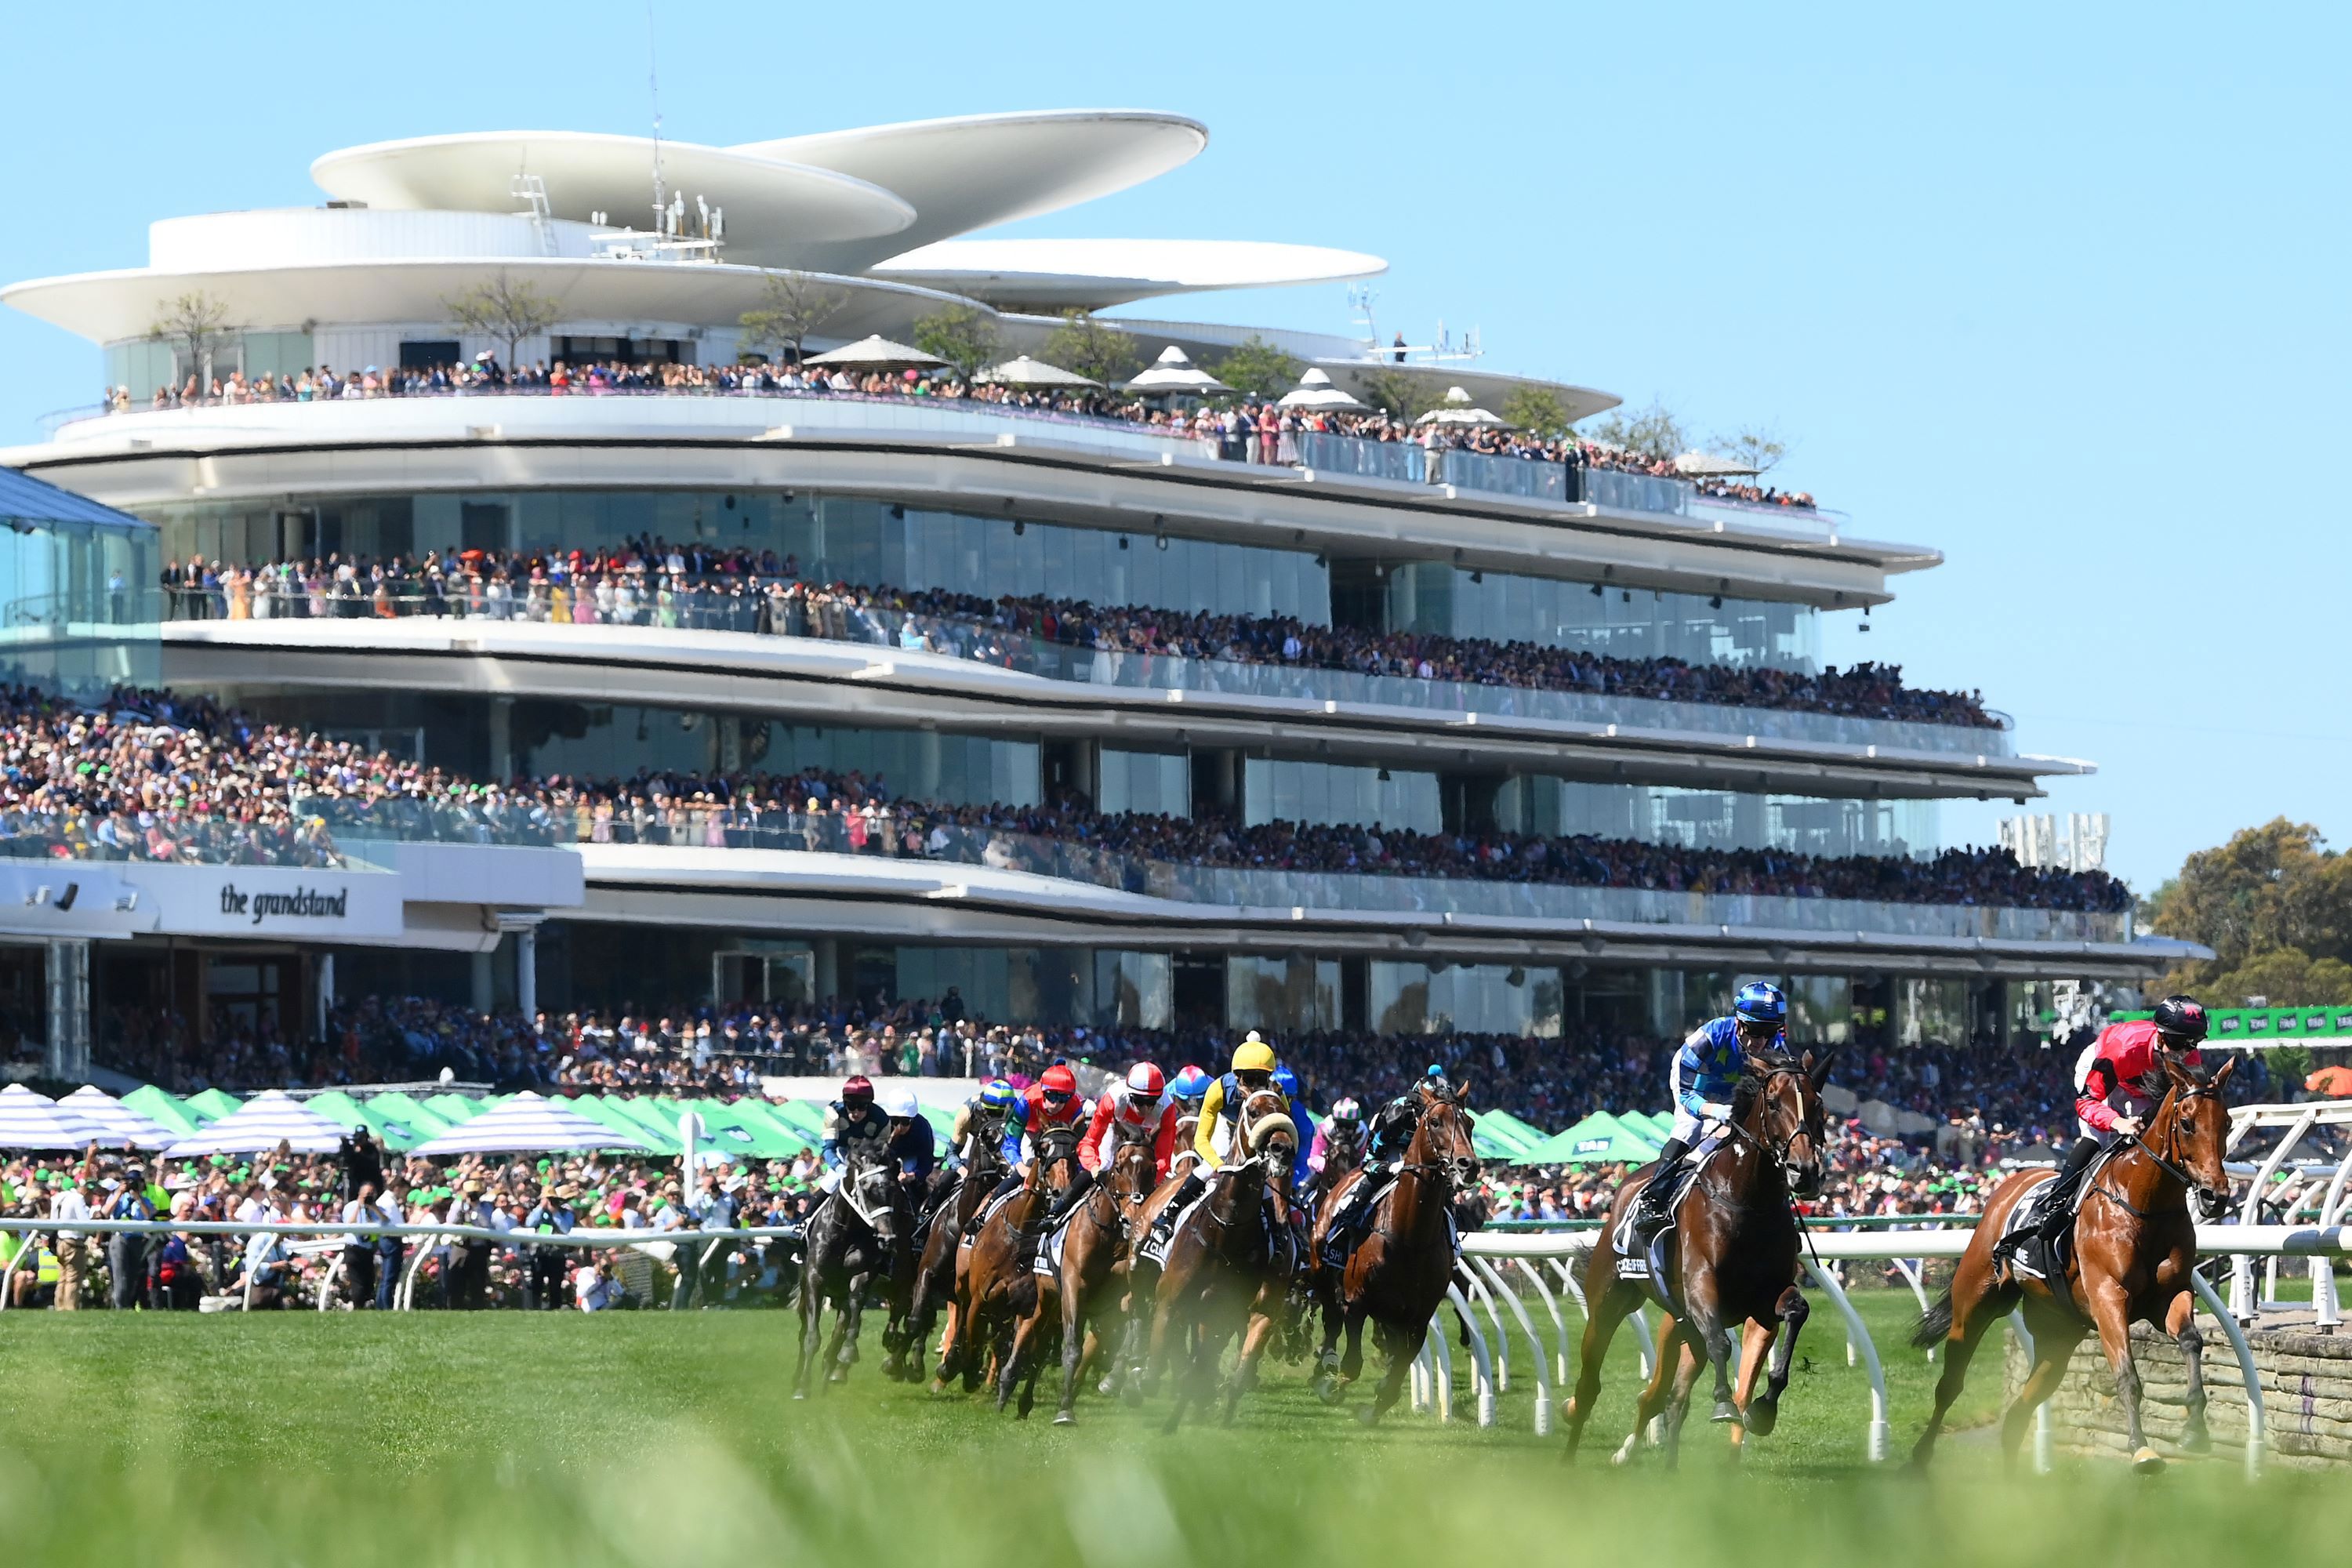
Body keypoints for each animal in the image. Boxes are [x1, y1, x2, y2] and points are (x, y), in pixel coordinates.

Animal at [790, 1152, 898, 1401]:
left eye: (893, 1189)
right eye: (867, 1189)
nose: (887, 1239)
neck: (847, 1229)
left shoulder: (862, 1276)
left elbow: (852, 1319)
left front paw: (848, 1354)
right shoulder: (815, 1279)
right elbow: (811, 1336)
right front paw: (803, 1387)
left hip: (840, 1297)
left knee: (839, 1330)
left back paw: (828, 1377)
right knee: (803, 1331)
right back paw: (799, 1379)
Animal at [1308, 1086, 1468, 1429]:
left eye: (1471, 1123)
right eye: (1435, 1121)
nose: (1467, 1164)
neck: (1411, 1239)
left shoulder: (1418, 1317)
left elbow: (1397, 1372)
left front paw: (1376, 1404)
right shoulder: (1355, 1302)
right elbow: (1352, 1364)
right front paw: (1332, 1386)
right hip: (1322, 1272)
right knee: (1331, 1322)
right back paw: (1323, 1367)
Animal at [1562, 1053, 1835, 1476]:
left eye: (1818, 1105)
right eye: (1774, 1104)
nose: (1804, 1171)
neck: (1747, 1201)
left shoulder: (1764, 1300)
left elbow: (1796, 1312)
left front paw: (1763, 1409)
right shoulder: (1702, 1287)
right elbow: (1721, 1343)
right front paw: (1723, 1404)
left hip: (1682, 1326)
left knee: (1668, 1398)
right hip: (1609, 1303)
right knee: (1592, 1384)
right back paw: (1570, 1456)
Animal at [1910, 1053, 2220, 1476]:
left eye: (2228, 1123)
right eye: (2187, 1123)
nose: (2216, 1195)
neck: (2143, 1204)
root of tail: (2008, 1186)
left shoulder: (2168, 1296)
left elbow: (2191, 1340)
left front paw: (2195, 1430)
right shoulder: (2108, 1297)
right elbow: (2127, 1374)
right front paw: (2142, 1450)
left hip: (2058, 1332)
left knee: (2022, 1407)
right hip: (1974, 1303)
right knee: (1950, 1384)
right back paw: (1918, 1458)